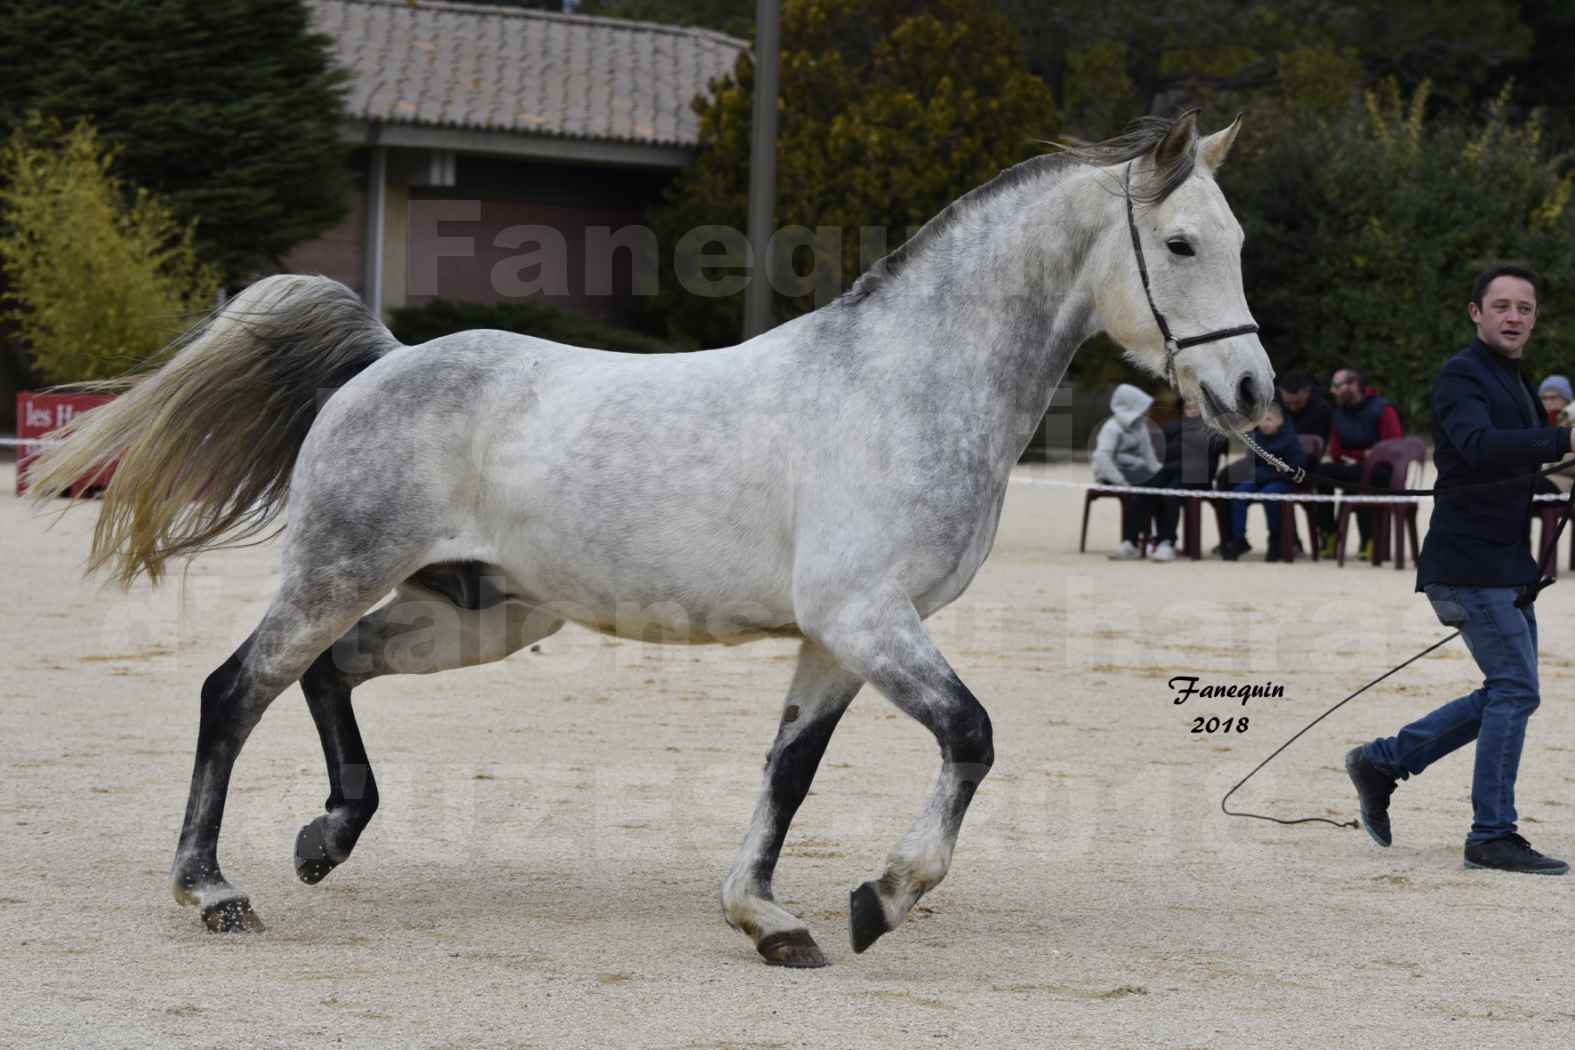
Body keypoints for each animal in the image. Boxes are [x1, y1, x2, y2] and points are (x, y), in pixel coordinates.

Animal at [30, 110, 1272, 963]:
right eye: (1179, 244)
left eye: (1235, 238)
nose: (1254, 393)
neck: (905, 386)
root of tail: (383, 360)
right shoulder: (870, 618)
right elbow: (970, 735)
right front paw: (882, 897)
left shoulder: (837, 639)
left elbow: (790, 771)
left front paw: (767, 918)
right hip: (341, 572)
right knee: (236, 691)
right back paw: (213, 890)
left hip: (472, 613)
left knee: (329, 674)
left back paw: (327, 838)